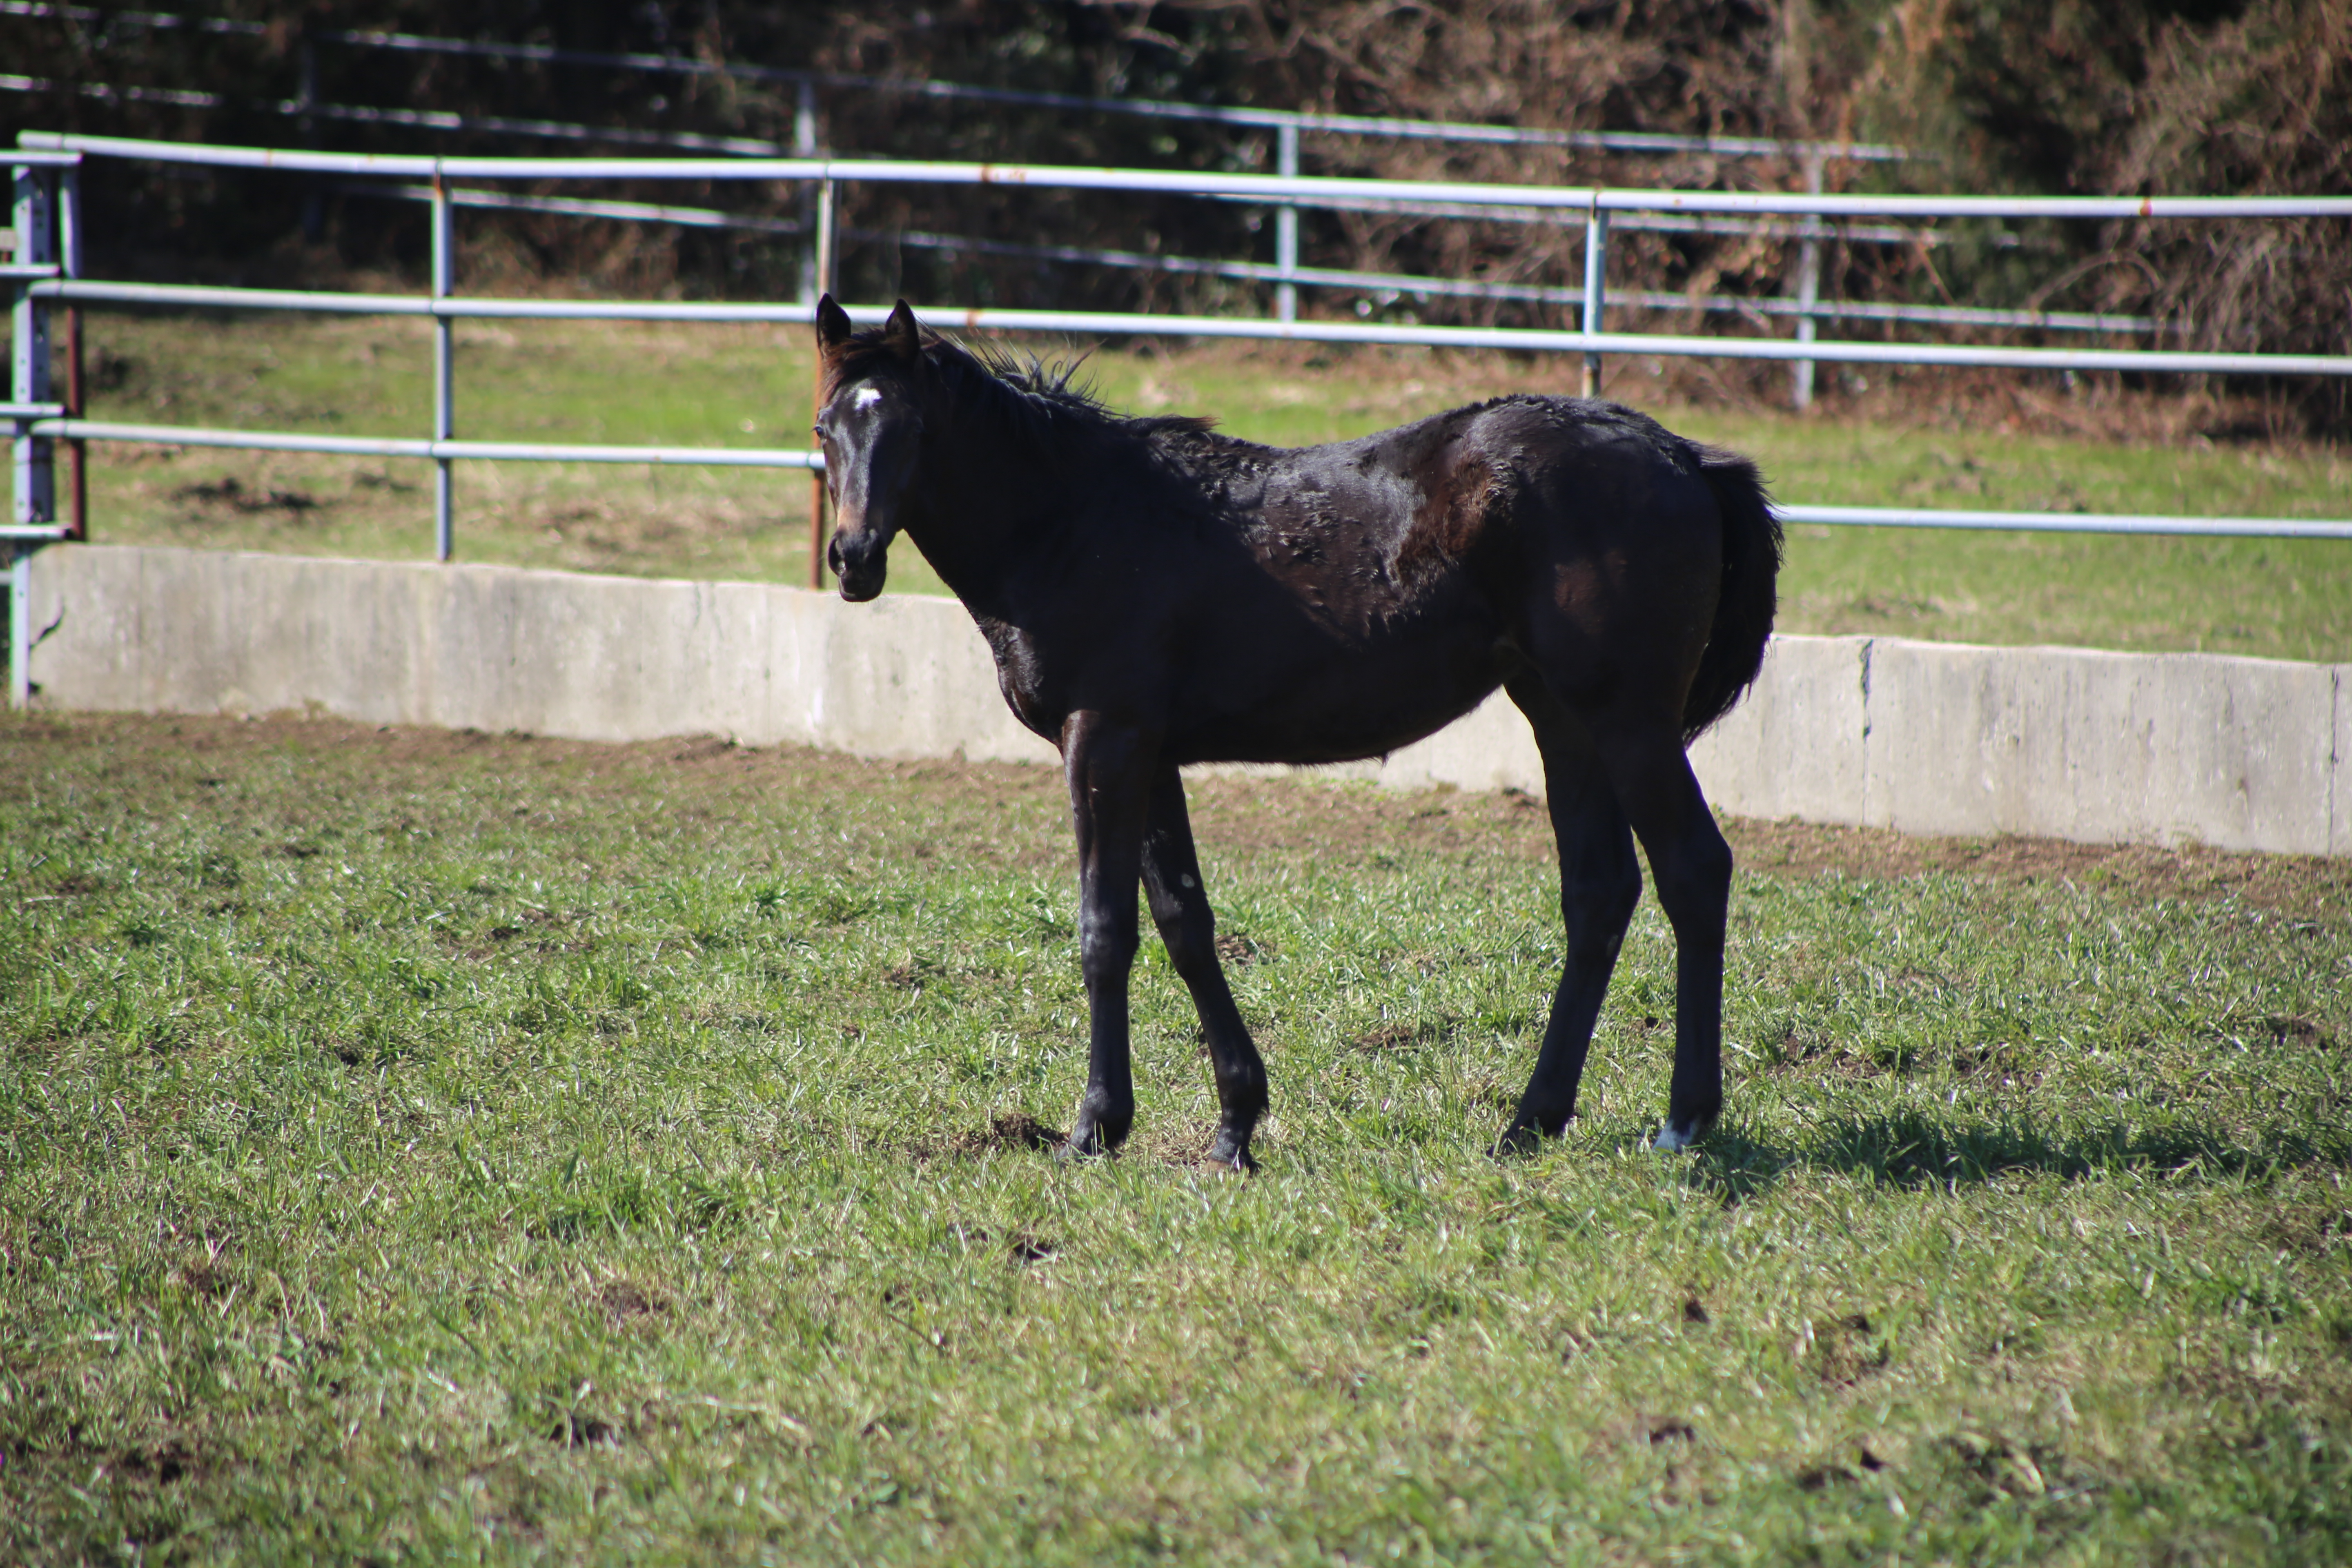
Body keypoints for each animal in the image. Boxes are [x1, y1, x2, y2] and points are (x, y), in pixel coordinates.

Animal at [818, 301, 1768, 1171]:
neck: (1071, 521)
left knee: (1693, 871)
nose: (854, 560)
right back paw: (1529, 1122)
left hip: (1629, 719)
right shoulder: (1151, 754)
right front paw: (1234, 1126)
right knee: (1599, 895)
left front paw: (1093, 1128)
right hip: (1564, 719)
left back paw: (1683, 1122)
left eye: (912, 428)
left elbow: (1104, 931)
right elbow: (1184, 923)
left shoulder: (1103, 741)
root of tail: (1684, 457)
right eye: (828, 429)